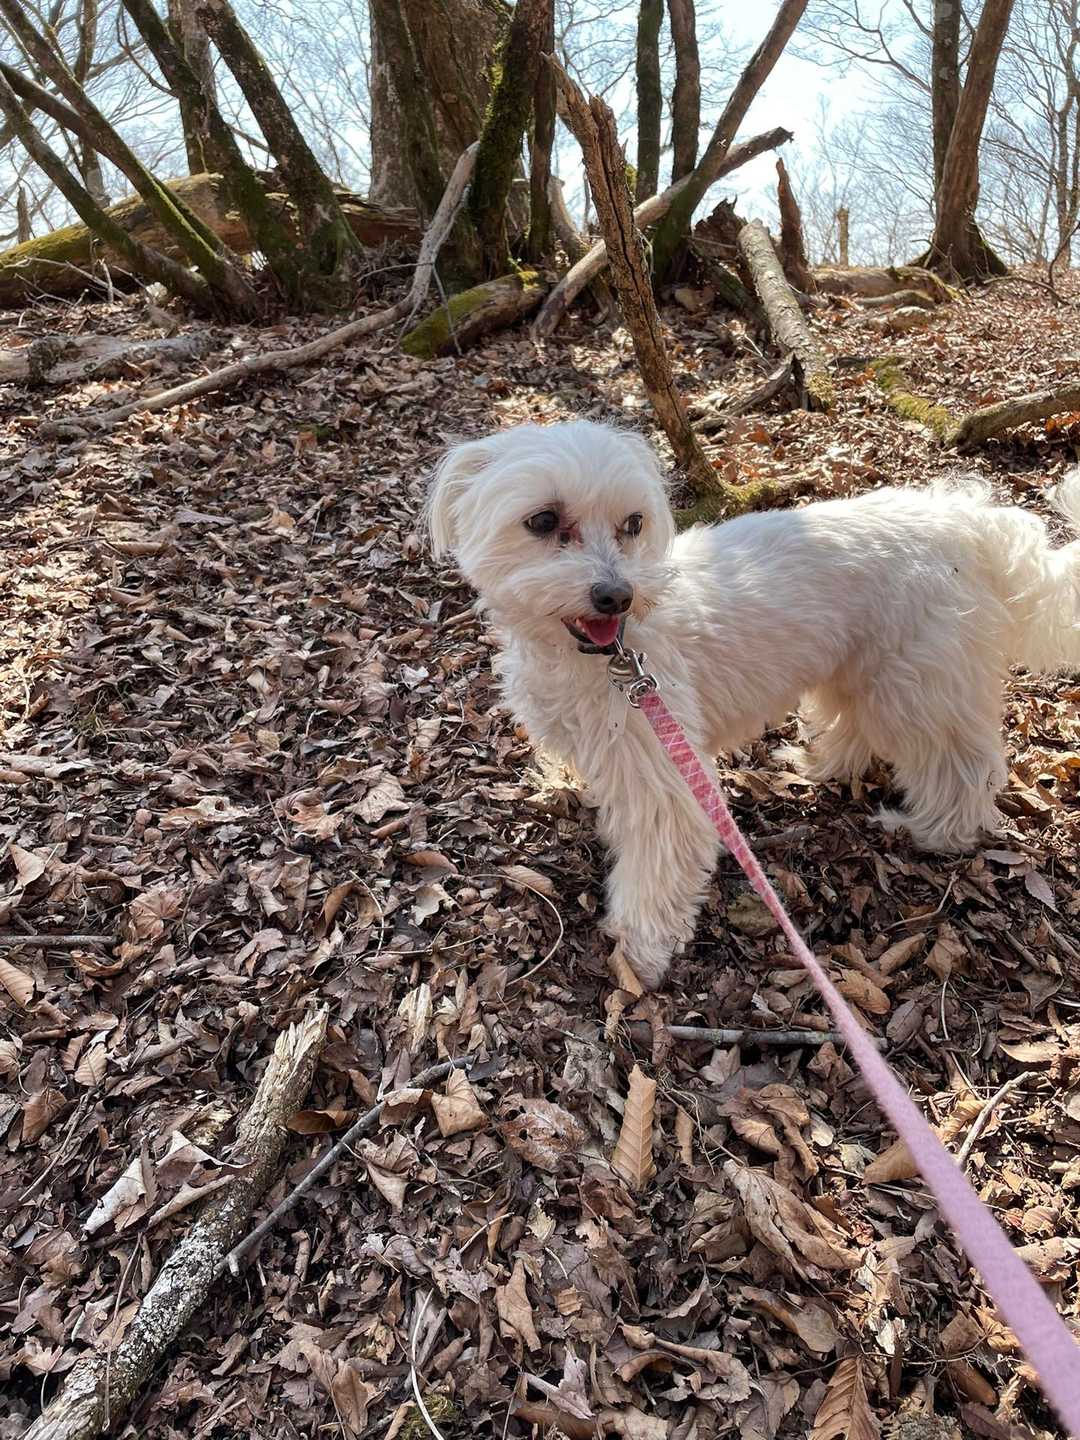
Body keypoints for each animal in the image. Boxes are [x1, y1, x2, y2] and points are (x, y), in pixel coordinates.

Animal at [427, 419, 1080, 989]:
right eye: (542, 521)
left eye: (633, 523)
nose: (617, 595)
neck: (601, 655)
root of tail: (971, 521)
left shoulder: (664, 769)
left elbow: (660, 856)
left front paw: (641, 946)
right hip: (857, 668)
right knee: (857, 728)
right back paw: (819, 766)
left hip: (916, 683)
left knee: (960, 764)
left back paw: (932, 830)